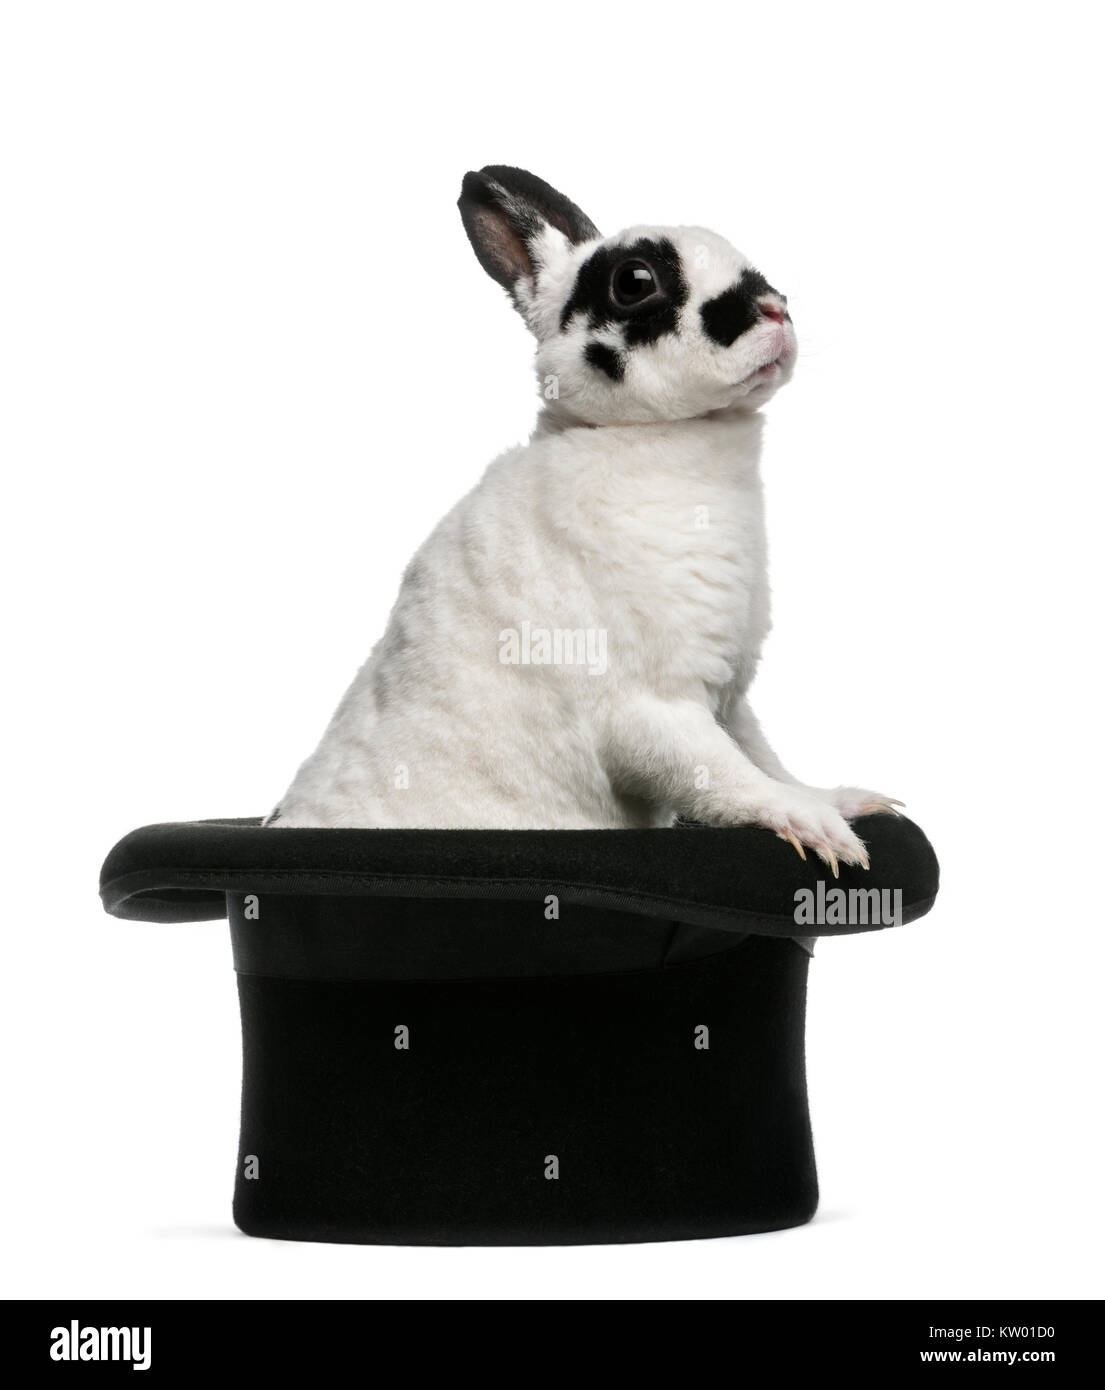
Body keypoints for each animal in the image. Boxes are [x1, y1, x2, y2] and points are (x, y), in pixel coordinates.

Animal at [266, 165, 901, 871]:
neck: (639, 436)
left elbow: (764, 758)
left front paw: (849, 803)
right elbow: (728, 778)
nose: (775, 311)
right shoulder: (653, 710)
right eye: (634, 281)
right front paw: (820, 832)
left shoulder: (729, 702)